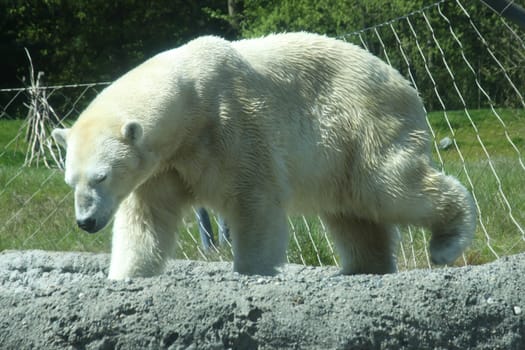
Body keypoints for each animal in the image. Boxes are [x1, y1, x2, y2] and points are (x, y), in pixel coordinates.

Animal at [52, 32, 474, 278]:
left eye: (102, 176)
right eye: (71, 180)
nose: (86, 222)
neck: (190, 98)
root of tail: (404, 82)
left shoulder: (232, 124)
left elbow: (254, 199)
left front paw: (252, 271)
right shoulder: (165, 164)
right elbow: (146, 218)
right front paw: (125, 275)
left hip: (365, 123)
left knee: (388, 186)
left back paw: (447, 241)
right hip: (341, 154)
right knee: (351, 209)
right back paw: (363, 267)